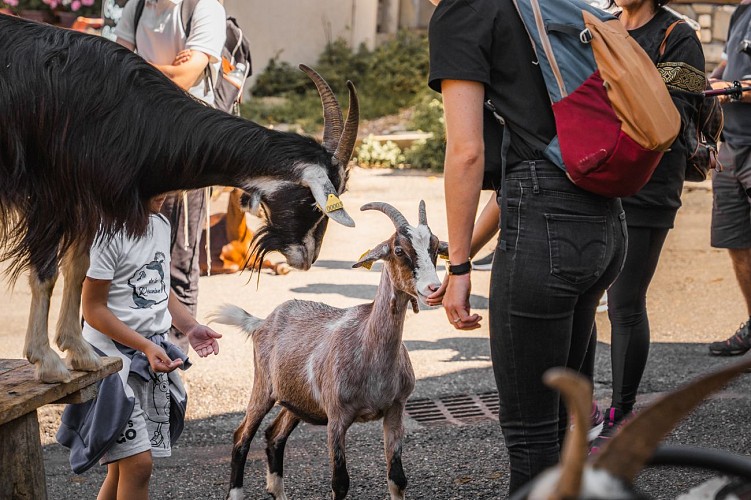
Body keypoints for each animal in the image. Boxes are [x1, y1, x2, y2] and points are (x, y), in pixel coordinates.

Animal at [0, 15, 359, 383]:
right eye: (314, 202)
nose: (308, 258)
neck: (129, 113)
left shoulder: (89, 201)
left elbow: (79, 268)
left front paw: (83, 353)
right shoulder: (50, 196)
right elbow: (46, 273)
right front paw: (47, 360)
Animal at [211, 201, 448, 500]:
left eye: (436, 247)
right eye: (398, 250)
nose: (434, 288)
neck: (368, 348)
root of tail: (262, 322)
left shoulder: (395, 409)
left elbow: (397, 478)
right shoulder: (336, 418)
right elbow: (340, 482)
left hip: (297, 400)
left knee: (274, 436)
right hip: (263, 387)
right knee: (242, 436)